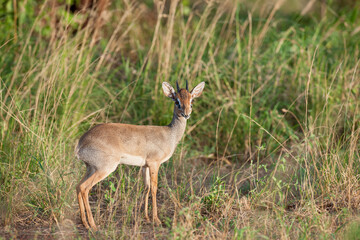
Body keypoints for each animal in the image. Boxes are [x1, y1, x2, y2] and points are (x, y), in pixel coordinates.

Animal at [76, 81, 205, 230]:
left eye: (191, 100)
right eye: (177, 101)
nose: (186, 114)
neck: (169, 135)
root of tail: (81, 143)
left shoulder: (145, 166)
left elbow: (146, 187)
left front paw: (147, 218)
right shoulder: (155, 163)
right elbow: (154, 188)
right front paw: (156, 220)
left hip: (90, 169)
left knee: (78, 186)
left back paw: (85, 222)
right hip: (105, 169)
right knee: (85, 188)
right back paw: (93, 225)